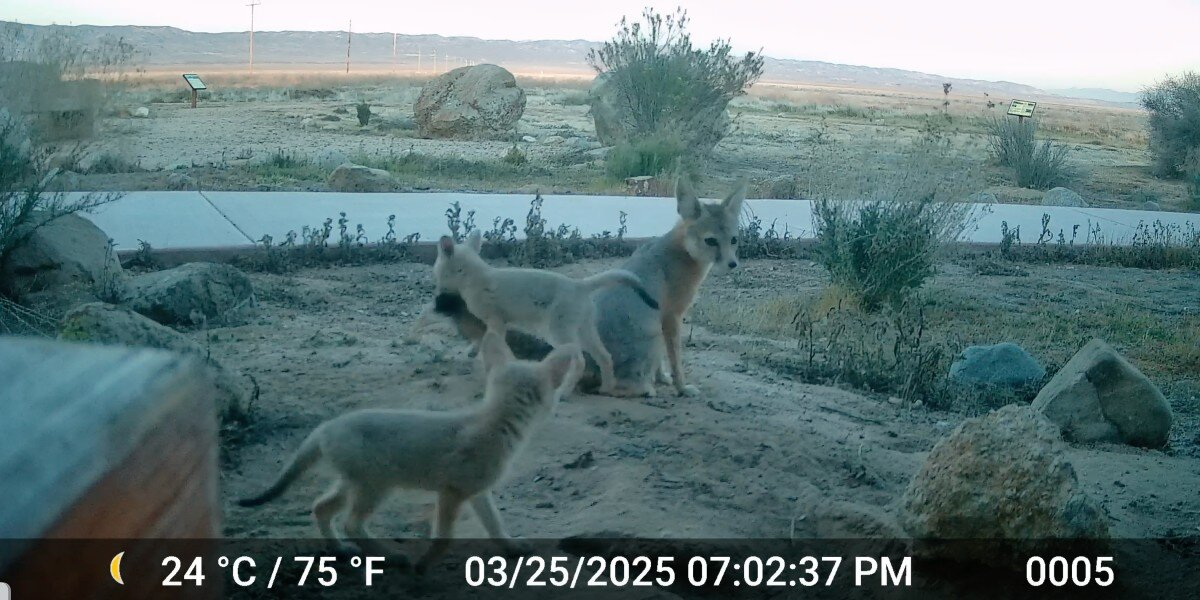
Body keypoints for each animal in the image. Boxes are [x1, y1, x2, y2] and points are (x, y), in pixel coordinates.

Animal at [237, 332, 584, 573]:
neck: (494, 421)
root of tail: (326, 426)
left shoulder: (477, 492)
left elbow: (495, 525)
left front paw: (512, 549)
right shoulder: (451, 493)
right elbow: (444, 537)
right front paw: (424, 564)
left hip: (353, 484)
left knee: (321, 508)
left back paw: (341, 550)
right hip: (375, 487)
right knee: (351, 523)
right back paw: (390, 556)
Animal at [430, 230, 659, 395]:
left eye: (437, 270)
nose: (438, 296)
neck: (474, 277)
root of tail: (580, 285)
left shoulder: (495, 321)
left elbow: (493, 342)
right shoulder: (496, 323)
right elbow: (483, 341)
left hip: (558, 333)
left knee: (580, 361)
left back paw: (564, 392)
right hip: (583, 331)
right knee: (604, 357)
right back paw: (606, 388)